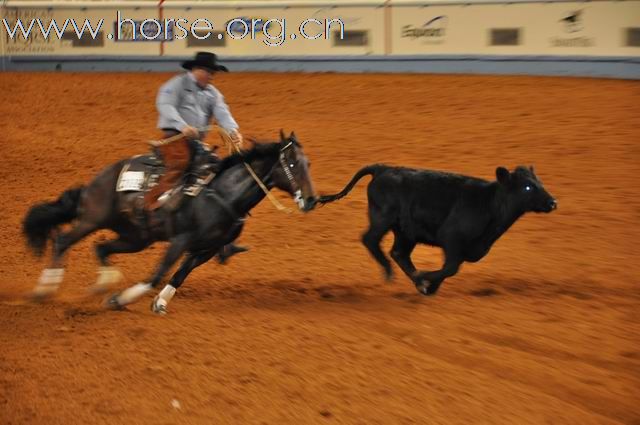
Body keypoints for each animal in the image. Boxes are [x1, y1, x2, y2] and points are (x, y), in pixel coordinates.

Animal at [22, 131, 318, 314]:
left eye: (308, 163)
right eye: (292, 164)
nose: (311, 200)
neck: (223, 195)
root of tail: (96, 181)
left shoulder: (205, 249)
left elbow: (179, 275)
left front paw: (160, 303)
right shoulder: (180, 240)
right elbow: (158, 273)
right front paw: (121, 299)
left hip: (137, 237)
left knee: (101, 248)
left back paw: (102, 282)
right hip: (92, 219)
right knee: (63, 240)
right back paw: (45, 289)